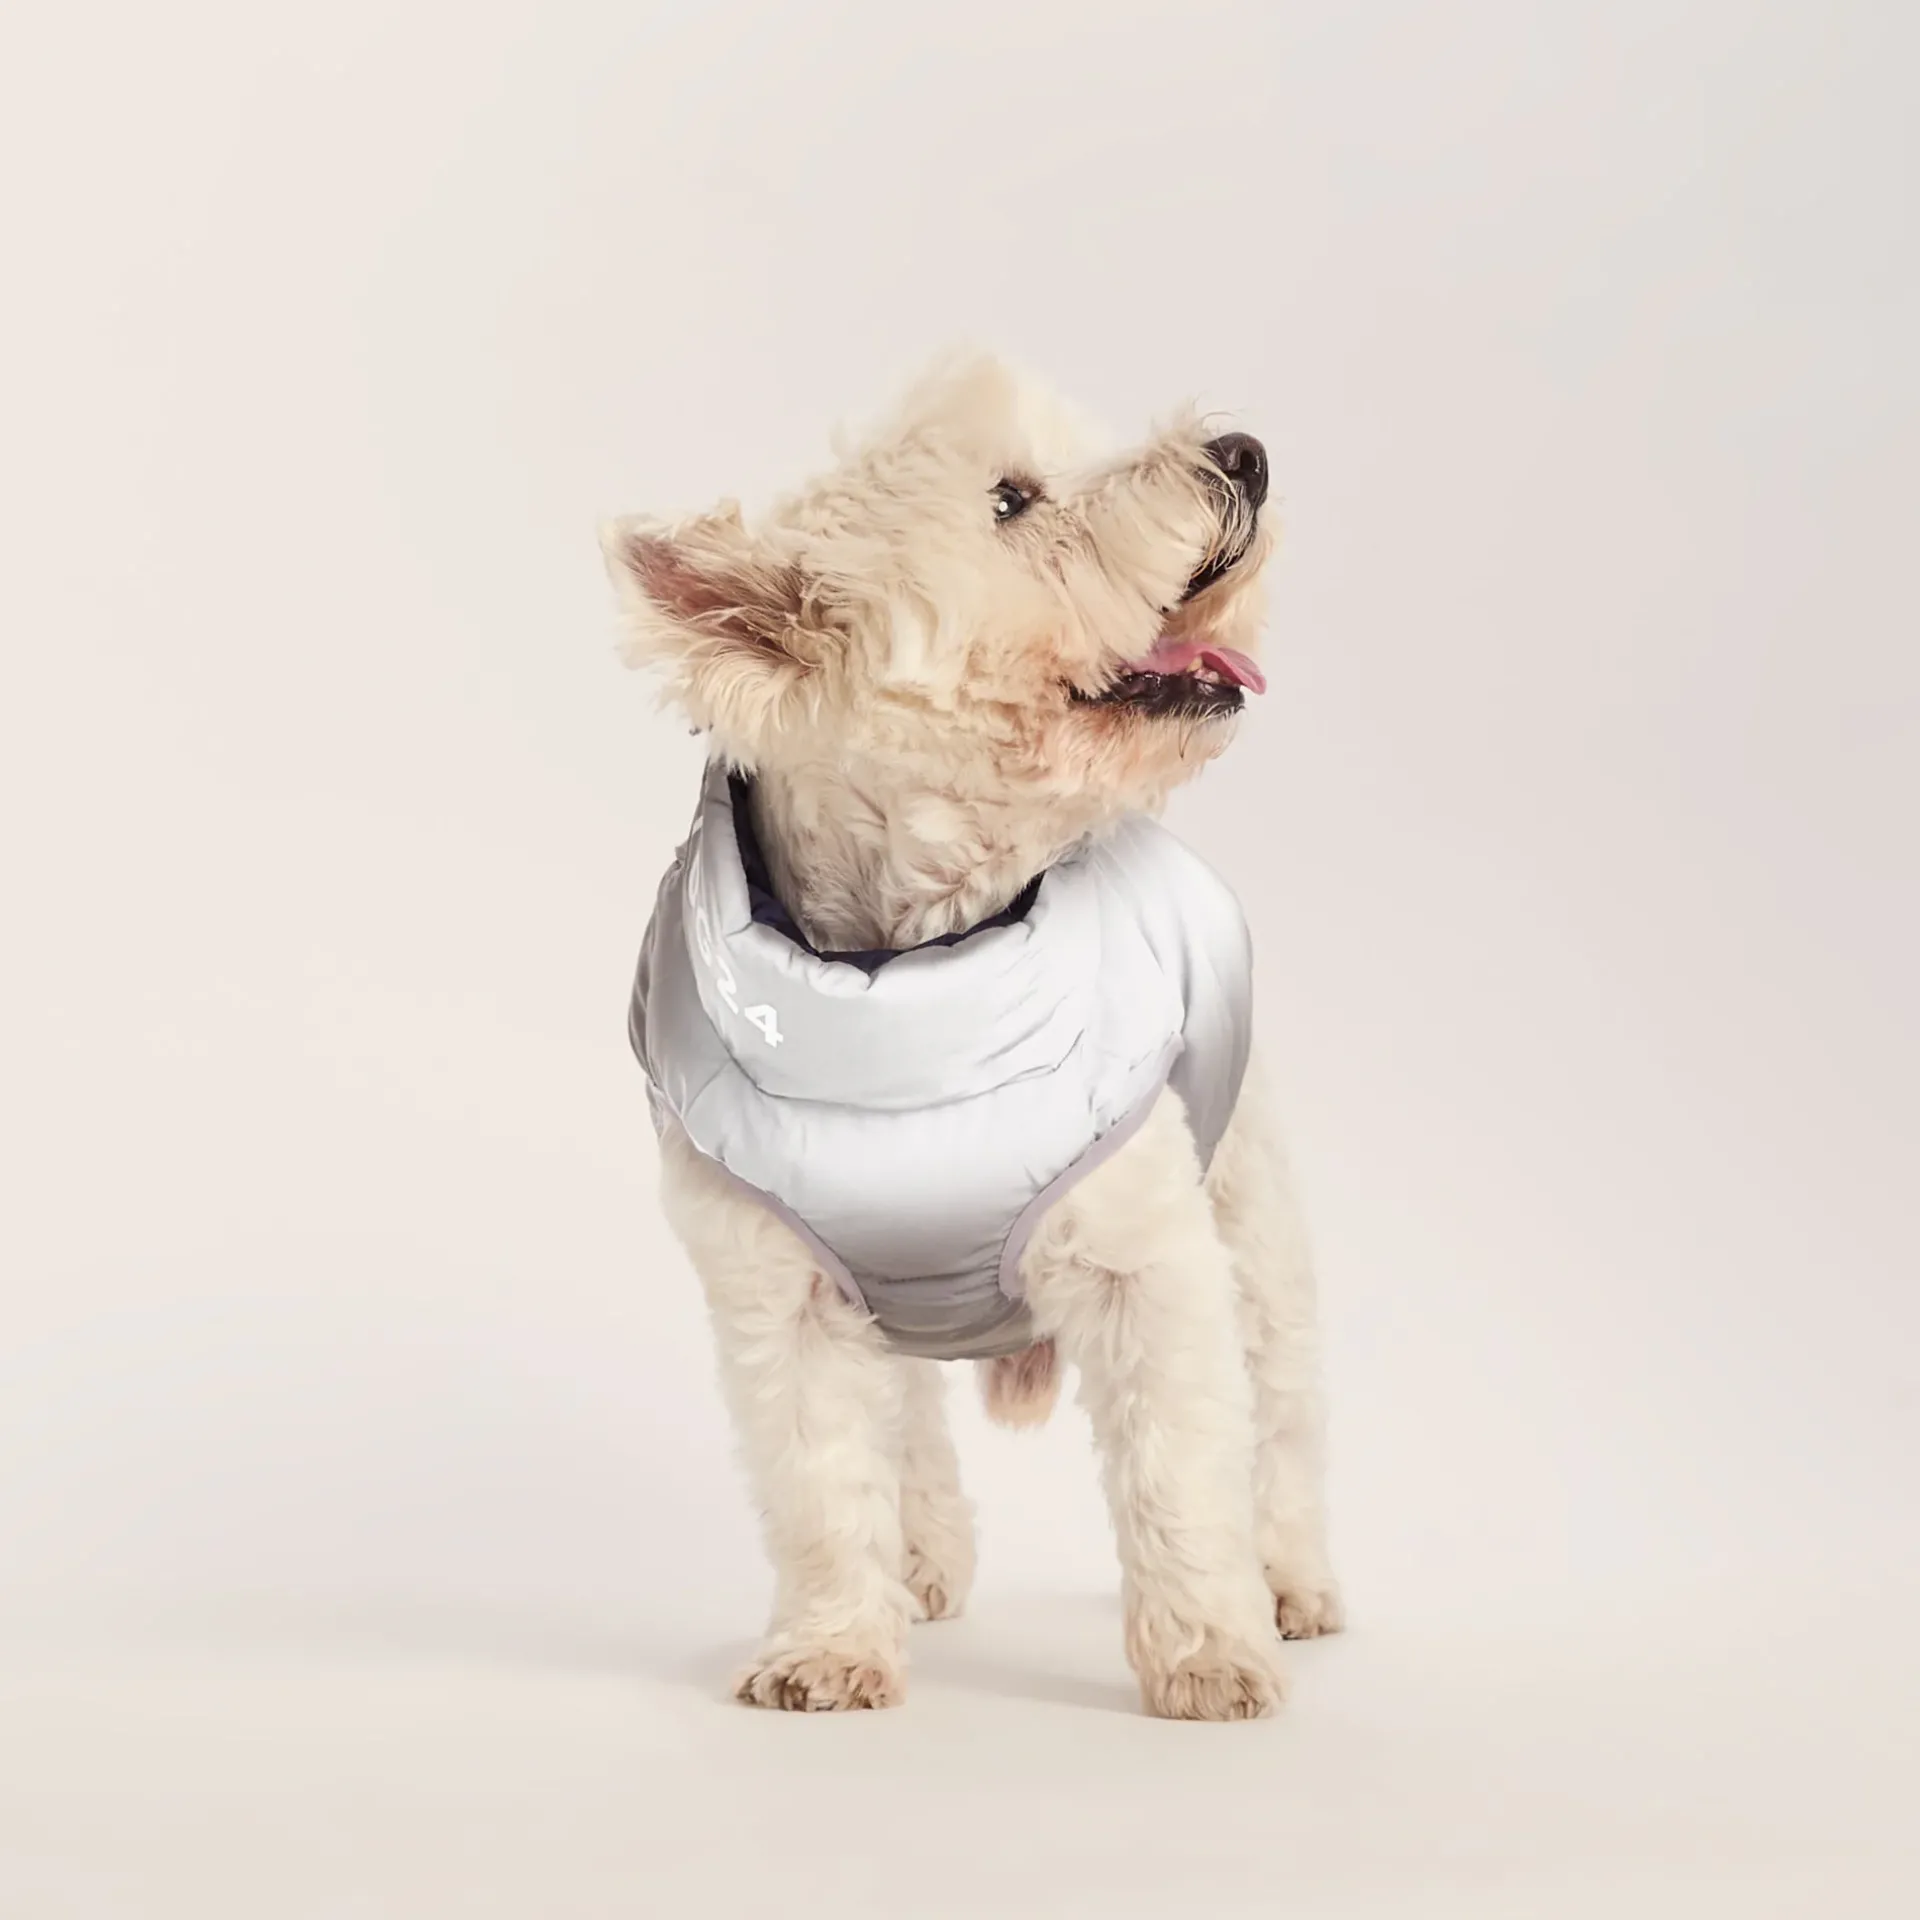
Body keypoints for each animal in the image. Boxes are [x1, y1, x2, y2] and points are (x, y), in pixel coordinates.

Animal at [602, 350, 1339, 1720]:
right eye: (1012, 500)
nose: (1247, 454)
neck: (909, 985)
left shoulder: (1149, 1259)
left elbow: (1179, 1470)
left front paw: (1209, 1655)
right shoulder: (784, 1290)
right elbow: (821, 1477)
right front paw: (830, 1646)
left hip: (1252, 1201)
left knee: (1280, 1404)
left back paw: (1292, 1582)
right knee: (909, 1418)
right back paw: (921, 1562)